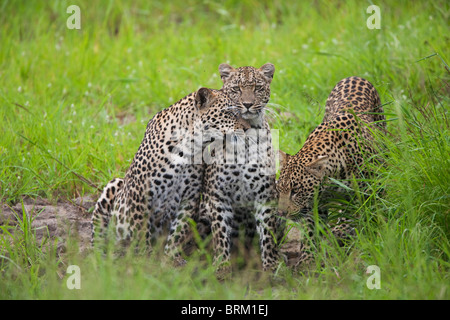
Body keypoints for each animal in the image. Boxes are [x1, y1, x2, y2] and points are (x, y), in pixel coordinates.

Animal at [90, 87, 251, 262]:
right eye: (229, 113)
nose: (248, 128)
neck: (188, 147)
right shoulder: (139, 195)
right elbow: (141, 231)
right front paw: (144, 258)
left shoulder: (189, 198)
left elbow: (178, 233)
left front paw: (170, 260)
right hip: (114, 186)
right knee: (98, 234)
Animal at [196, 63, 284, 276]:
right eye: (236, 89)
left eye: (258, 88)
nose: (247, 104)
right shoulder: (218, 196)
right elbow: (220, 234)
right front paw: (222, 267)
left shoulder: (265, 195)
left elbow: (268, 235)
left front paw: (271, 267)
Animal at [276, 76, 384, 268]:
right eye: (279, 190)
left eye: (295, 191)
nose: (281, 213)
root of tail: (355, 76)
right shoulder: (315, 205)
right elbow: (312, 231)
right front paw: (307, 262)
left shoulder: (364, 192)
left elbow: (360, 215)